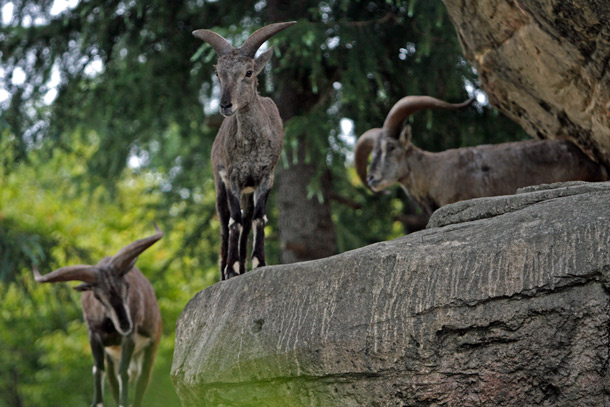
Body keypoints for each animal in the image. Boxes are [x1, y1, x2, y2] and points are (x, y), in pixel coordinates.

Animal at [33, 225, 162, 407]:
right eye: (98, 297)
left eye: (127, 286)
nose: (125, 324)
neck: (109, 327)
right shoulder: (94, 337)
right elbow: (98, 370)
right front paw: (97, 402)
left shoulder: (129, 338)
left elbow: (123, 372)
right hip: (112, 357)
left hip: (150, 348)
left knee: (141, 382)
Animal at [191, 22, 294, 280]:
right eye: (218, 74)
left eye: (249, 72)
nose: (225, 105)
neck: (252, 145)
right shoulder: (232, 177)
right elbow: (234, 221)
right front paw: (232, 267)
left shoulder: (265, 176)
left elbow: (258, 217)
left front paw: (259, 262)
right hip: (219, 184)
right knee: (224, 224)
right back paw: (225, 270)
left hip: (249, 190)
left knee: (247, 221)